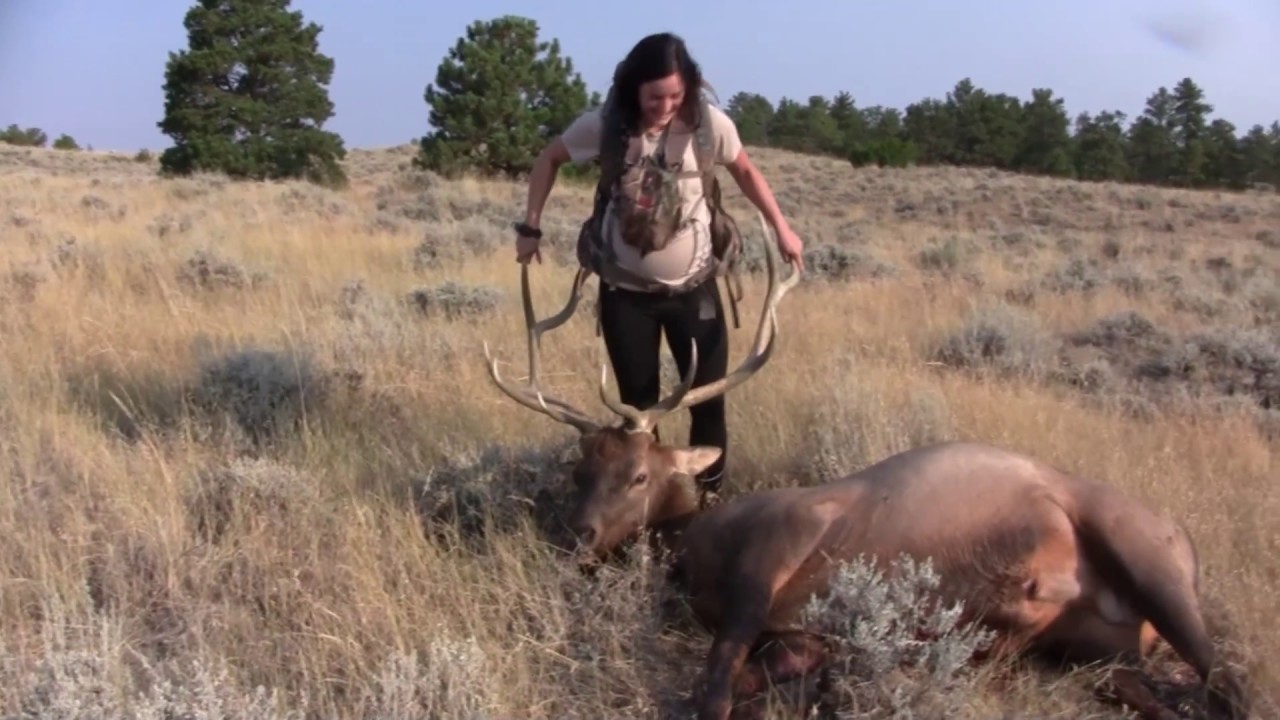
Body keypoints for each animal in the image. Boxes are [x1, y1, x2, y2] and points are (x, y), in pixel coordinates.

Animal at [479, 215, 1250, 720]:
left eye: (639, 475)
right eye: (580, 471)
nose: (576, 534)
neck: (694, 550)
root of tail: (1187, 542)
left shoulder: (779, 548)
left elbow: (714, 691)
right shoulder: (800, 635)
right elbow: (766, 683)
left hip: (1146, 556)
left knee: (1231, 681)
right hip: (1099, 653)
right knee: (1167, 695)